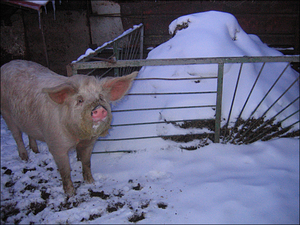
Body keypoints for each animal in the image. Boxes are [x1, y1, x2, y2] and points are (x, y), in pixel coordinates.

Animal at [0, 59, 137, 195]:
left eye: (101, 97)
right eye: (80, 100)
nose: (99, 109)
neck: (78, 135)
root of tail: (7, 64)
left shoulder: (89, 143)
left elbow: (87, 163)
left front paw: (91, 182)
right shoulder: (56, 145)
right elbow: (65, 170)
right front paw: (71, 193)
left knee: (29, 133)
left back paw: (35, 151)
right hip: (6, 113)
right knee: (17, 135)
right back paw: (25, 158)